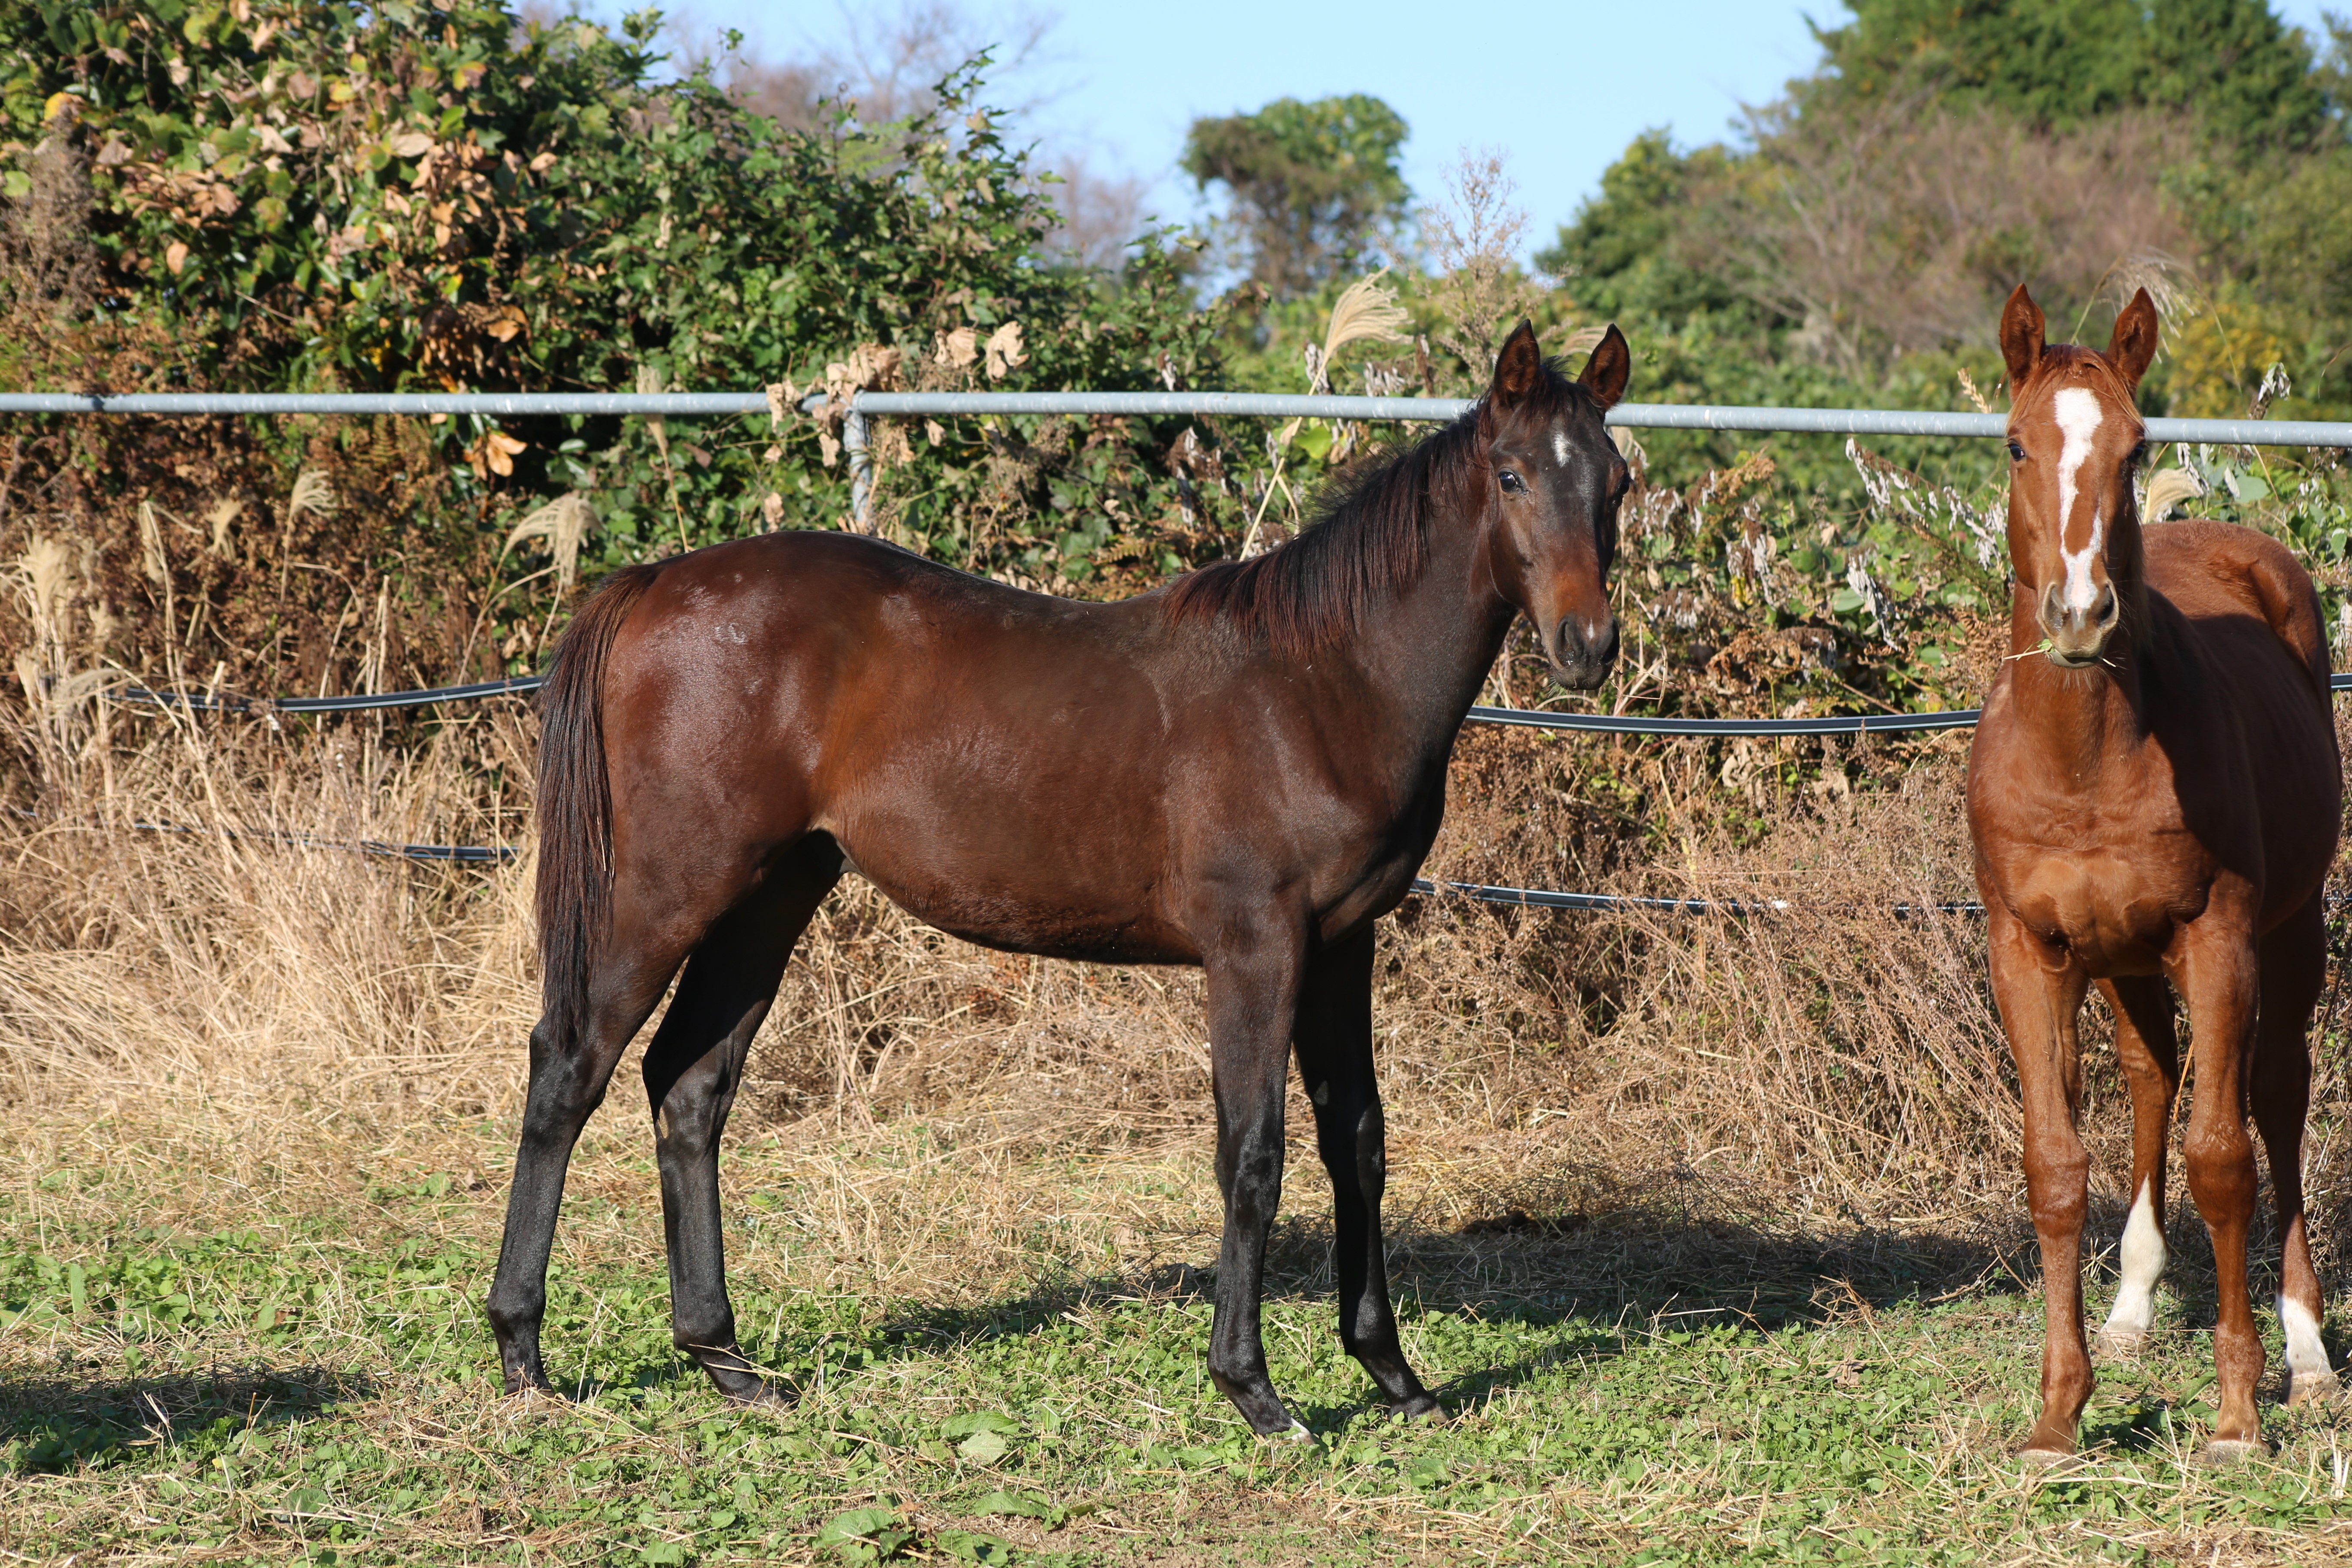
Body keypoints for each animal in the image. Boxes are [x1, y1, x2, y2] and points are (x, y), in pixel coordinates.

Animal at [491, 320, 1637, 1438]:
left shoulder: (1341, 944)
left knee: (689, 1088)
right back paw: (523, 1353)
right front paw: (1254, 1392)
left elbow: (1356, 1139)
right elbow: (1252, 1153)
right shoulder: (1256, 947)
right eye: (1511, 474)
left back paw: (726, 1361)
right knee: (570, 1065)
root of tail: (654, 581)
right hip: (666, 889)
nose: (1588, 645)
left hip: (771, 896)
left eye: (1617, 480)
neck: (1322, 682)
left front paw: (1394, 1375)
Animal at [1966, 285, 2333, 1476]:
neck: (2084, 760)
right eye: (2016, 442)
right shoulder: (2025, 951)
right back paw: (2129, 1309)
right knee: (2150, 1077)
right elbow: (2053, 1165)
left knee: (2275, 1098)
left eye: (2134, 447)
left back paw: (2308, 1350)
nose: (2080, 613)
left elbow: (2223, 1158)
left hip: (2289, 936)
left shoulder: (2217, 939)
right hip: (2122, 957)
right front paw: (2057, 1413)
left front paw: (2238, 1412)